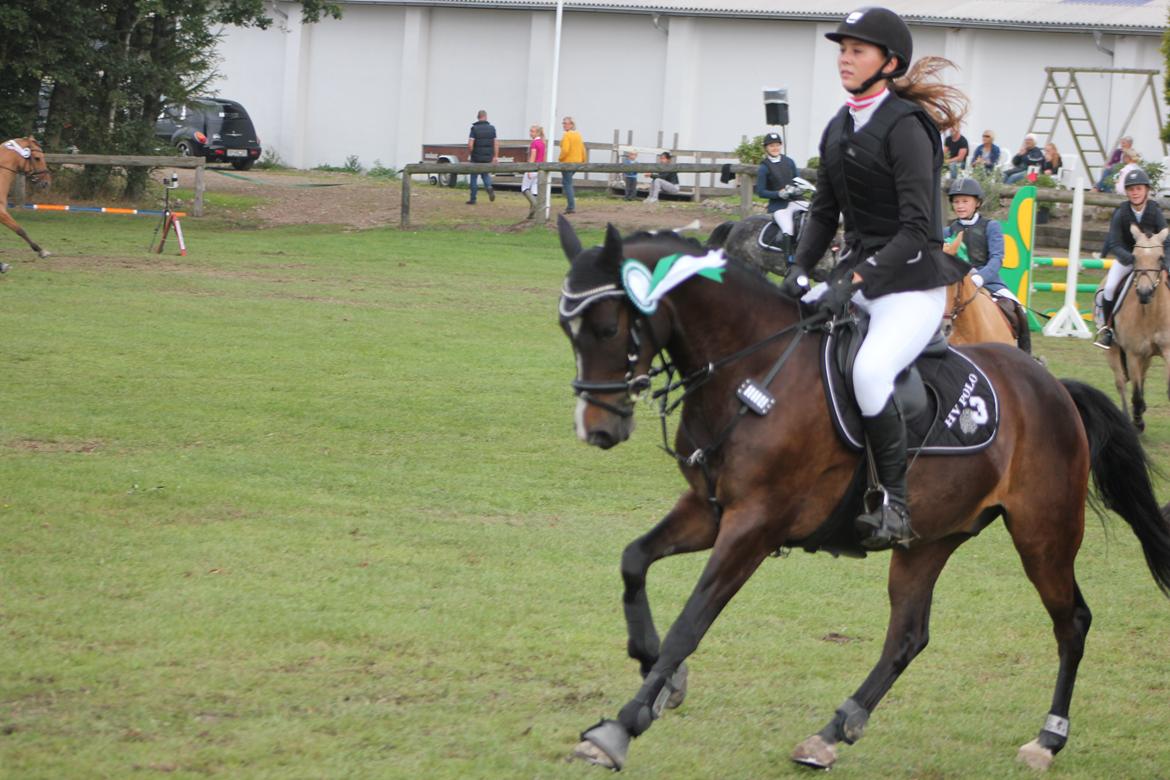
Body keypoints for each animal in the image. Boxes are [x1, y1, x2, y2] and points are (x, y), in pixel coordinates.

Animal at [1102, 225, 1170, 431]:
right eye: (1134, 257)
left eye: (1160, 257)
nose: (1145, 293)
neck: (1151, 313)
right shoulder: (1133, 354)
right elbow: (1137, 395)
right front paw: (1138, 422)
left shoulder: (1167, 350)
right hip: (1113, 350)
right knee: (1121, 384)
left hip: (1146, 358)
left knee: (1142, 376)